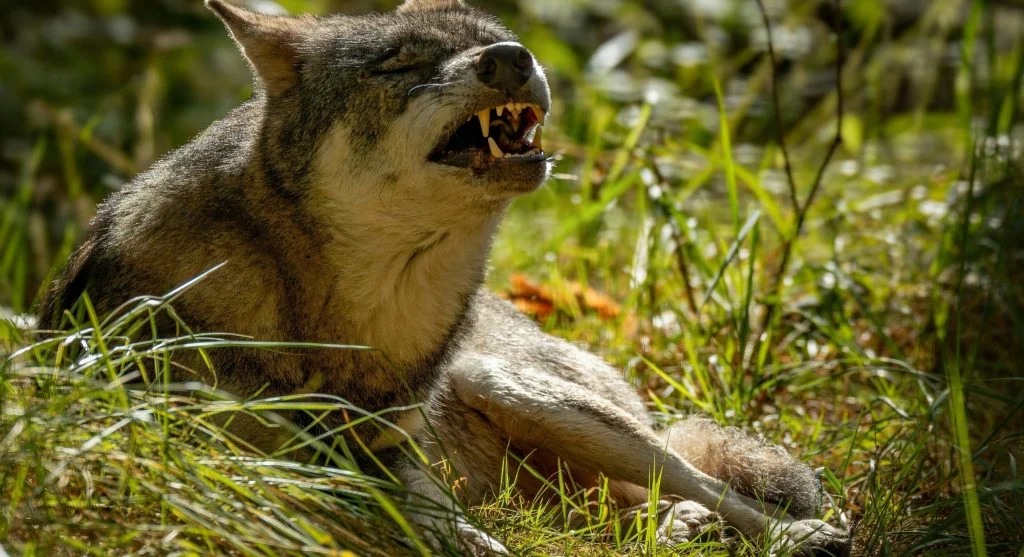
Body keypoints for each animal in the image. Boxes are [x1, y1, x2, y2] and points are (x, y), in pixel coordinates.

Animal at [38, 0, 851, 554]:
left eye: (488, 35)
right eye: (397, 63)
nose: (511, 58)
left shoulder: (396, 455)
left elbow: (455, 532)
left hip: (517, 388)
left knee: (705, 481)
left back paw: (781, 532)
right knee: (609, 509)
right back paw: (675, 526)